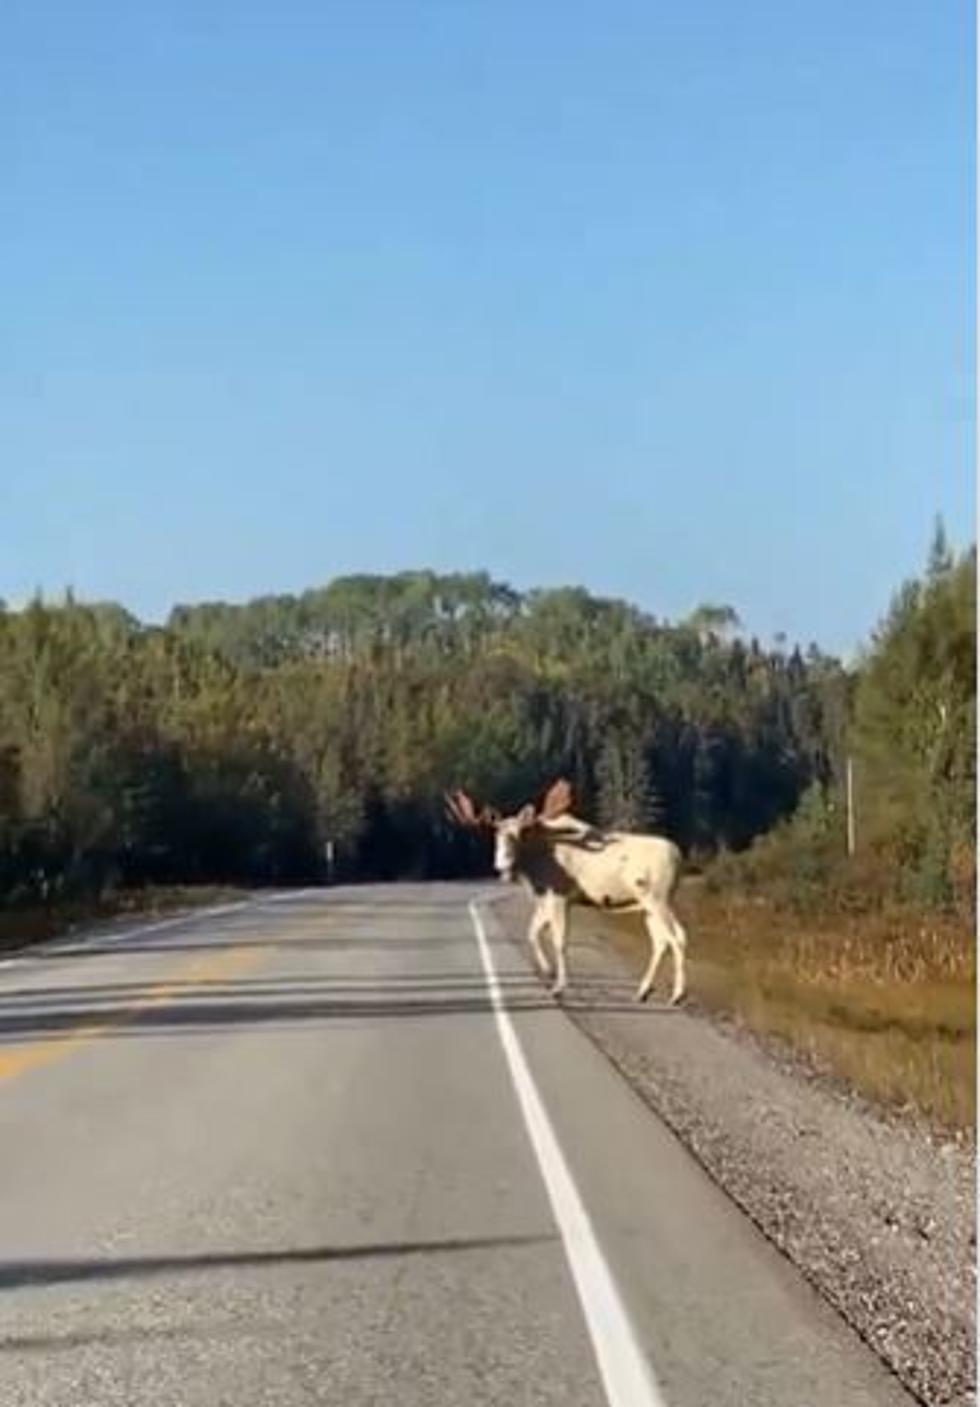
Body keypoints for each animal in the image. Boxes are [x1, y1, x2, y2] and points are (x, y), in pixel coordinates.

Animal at [444, 782, 683, 1001]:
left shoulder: (558, 897)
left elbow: (559, 941)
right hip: (650, 905)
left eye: (519, 834)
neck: (534, 865)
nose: (502, 864)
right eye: (496, 836)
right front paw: (548, 970)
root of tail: (678, 856)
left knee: (676, 938)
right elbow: (532, 933)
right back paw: (643, 991)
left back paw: (678, 994)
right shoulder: (546, 899)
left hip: (656, 899)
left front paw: (559, 987)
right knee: (665, 940)